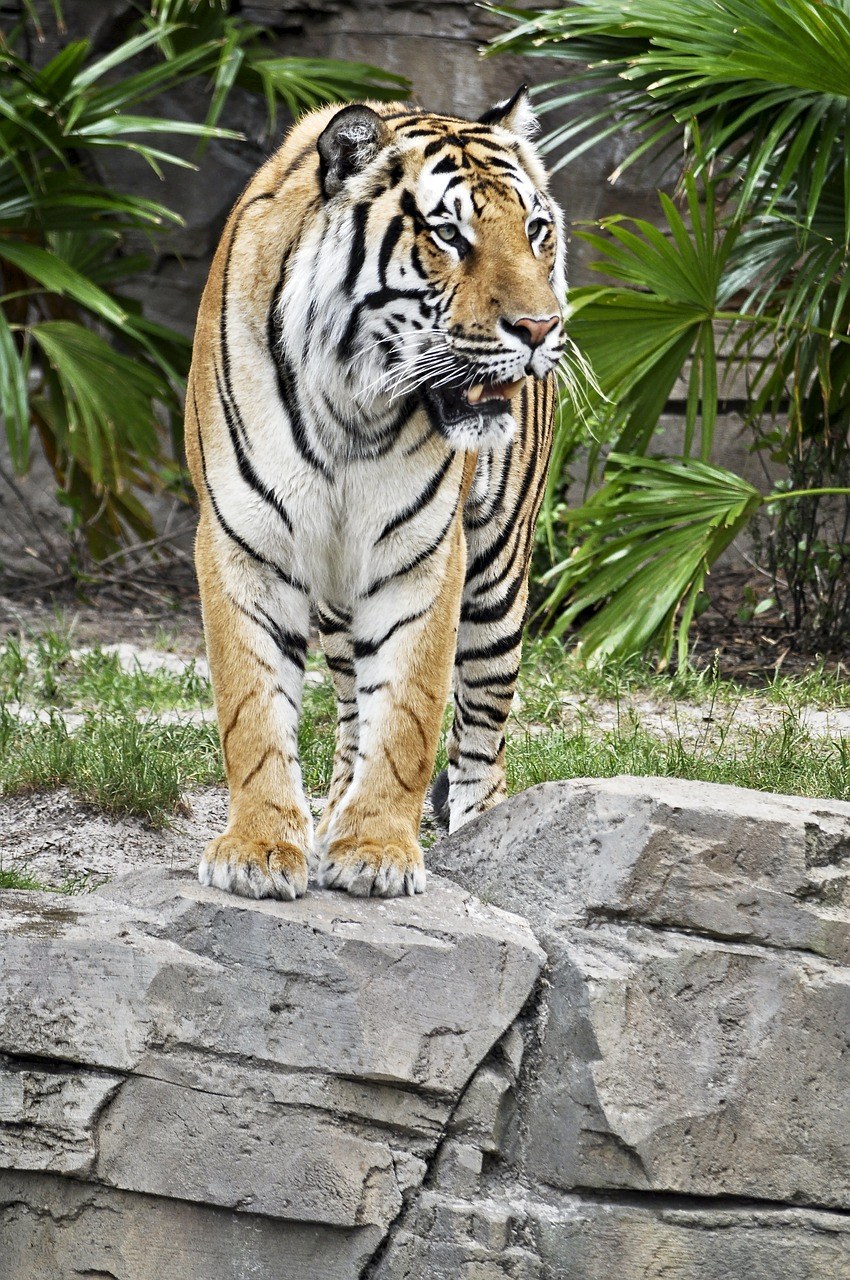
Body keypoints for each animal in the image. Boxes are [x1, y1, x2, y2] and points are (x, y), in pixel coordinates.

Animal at [185, 85, 563, 901]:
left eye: (536, 231)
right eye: (449, 234)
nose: (540, 327)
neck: (349, 404)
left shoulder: (423, 552)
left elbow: (410, 714)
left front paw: (377, 850)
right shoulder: (242, 541)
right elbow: (253, 710)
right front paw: (261, 847)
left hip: (497, 573)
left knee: (483, 719)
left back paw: (479, 826)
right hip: (333, 594)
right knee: (351, 705)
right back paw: (328, 811)